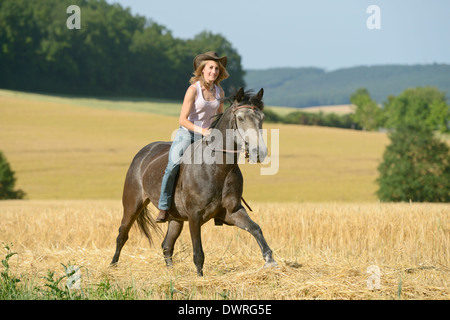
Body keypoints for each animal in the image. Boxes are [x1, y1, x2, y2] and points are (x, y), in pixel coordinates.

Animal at [110, 87, 276, 276]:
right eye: (240, 118)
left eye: (262, 118)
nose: (259, 152)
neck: (218, 168)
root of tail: (143, 152)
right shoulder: (194, 215)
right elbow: (198, 253)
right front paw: (200, 278)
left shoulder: (232, 211)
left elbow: (255, 228)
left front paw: (270, 260)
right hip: (132, 204)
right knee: (122, 235)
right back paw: (112, 267)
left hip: (175, 218)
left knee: (167, 245)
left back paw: (171, 272)